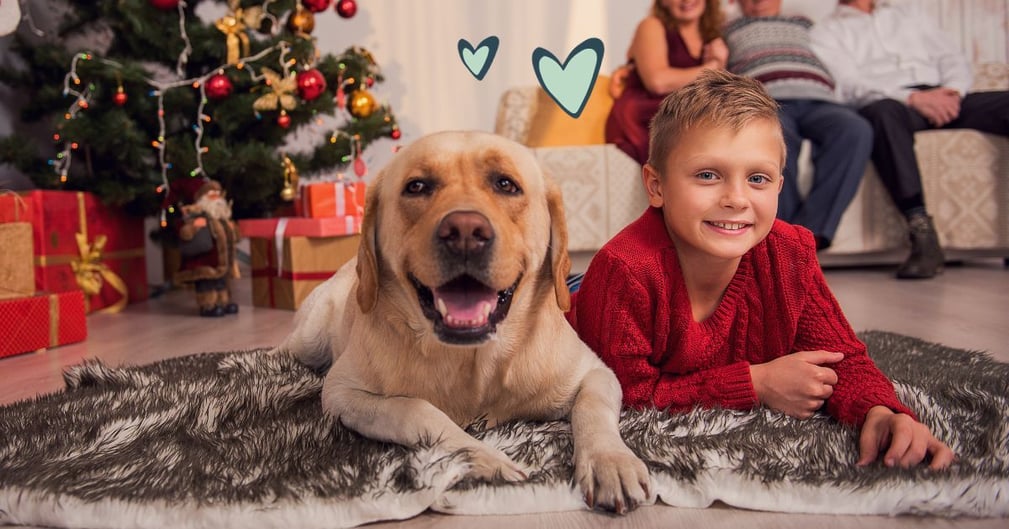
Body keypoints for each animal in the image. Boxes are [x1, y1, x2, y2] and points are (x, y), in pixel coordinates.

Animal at [276, 131, 649, 512]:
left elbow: (593, 408)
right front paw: (488, 458)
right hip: (309, 340)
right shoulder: (342, 392)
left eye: (506, 184)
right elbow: (415, 409)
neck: (474, 362)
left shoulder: (596, 373)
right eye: (417, 186)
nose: (466, 231)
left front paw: (610, 461)